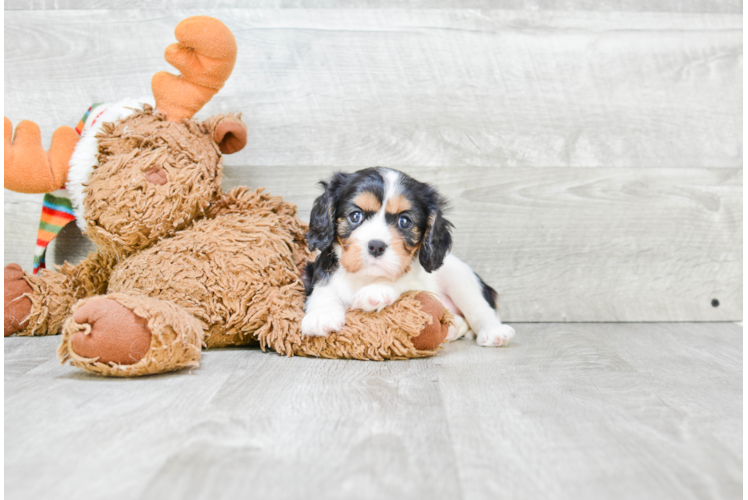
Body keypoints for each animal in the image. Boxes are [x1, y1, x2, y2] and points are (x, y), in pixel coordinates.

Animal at [300, 168, 516, 348]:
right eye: (355, 216)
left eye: (404, 221)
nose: (376, 245)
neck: (366, 277)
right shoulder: (319, 272)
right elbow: (324, 288)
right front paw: (322, 314)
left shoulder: (419, 282)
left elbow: (405, 281)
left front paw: (377, 290)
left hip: (458, 277)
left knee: (479, 310)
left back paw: (494, 332)